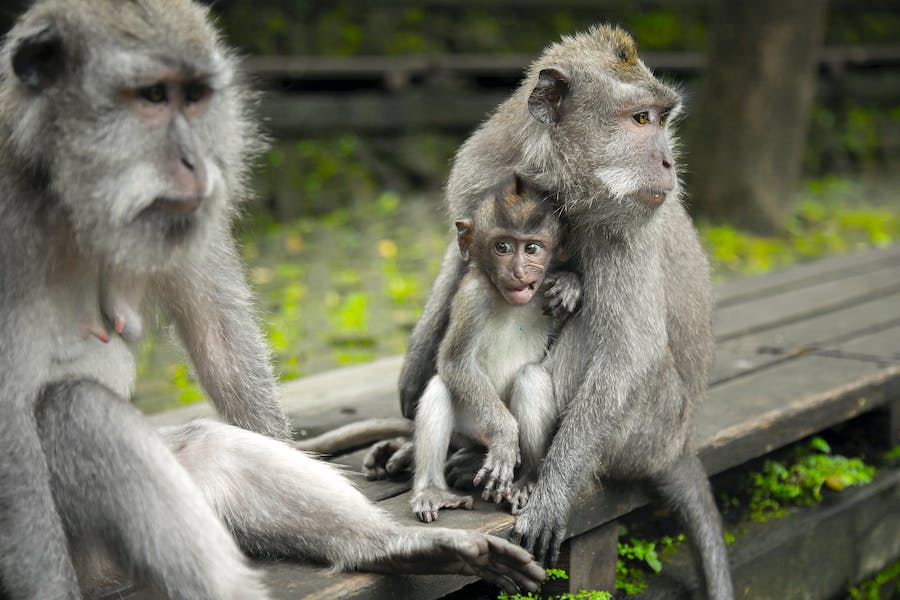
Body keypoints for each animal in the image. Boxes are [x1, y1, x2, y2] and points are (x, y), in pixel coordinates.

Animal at [0, 1, 544, 600]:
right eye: (152, 97)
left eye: (194, 97)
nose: (196, 162)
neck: (63, 188)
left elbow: (223, 347)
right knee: (78, 409)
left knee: (204, 447)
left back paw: (393, 547)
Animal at [412, 176, 580, 524]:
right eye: (502, 247)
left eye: (532, 248)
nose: (518, 272)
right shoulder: (472, 296)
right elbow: (455, 363)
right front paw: (504, 439)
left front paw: (571, 284)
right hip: (474, 424)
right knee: (440, 388)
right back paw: (433, 490)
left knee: (531, 377)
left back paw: (527, 478)